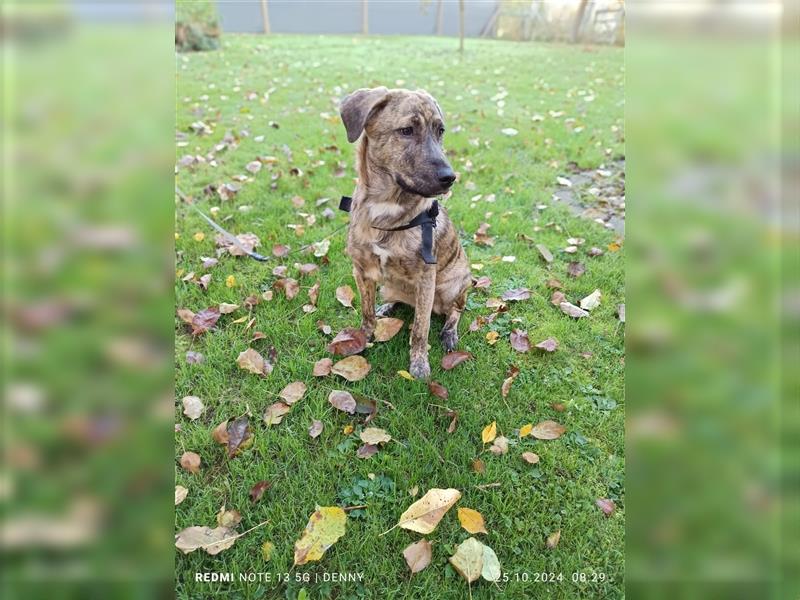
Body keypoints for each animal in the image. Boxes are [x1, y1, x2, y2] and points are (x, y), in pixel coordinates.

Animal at [340, 86, 476, 378]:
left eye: (440, 131)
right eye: (406, 130)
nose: (450, 178)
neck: (386, 209)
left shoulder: (426, 279)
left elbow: (420, 330)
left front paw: (419, 364)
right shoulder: (361, 270)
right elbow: (366, 312)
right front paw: (364, 337)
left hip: (453, 285)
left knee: (456, 310)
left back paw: (449, 333)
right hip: (389, 286)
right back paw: (388, 305)